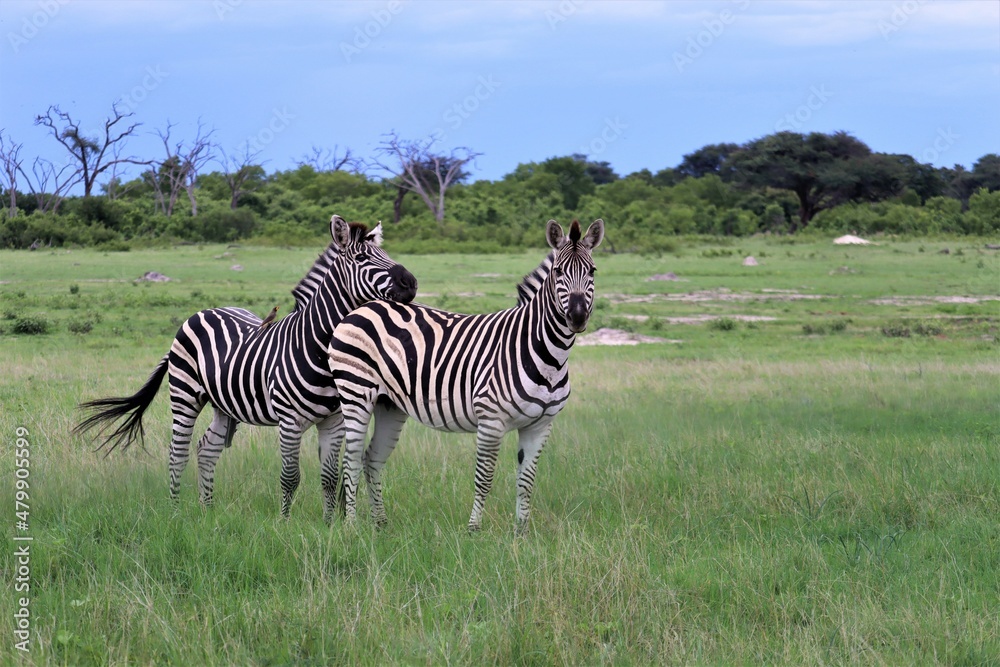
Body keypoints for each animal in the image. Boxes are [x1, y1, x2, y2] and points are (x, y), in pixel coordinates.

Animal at [75, 215, 418, 520]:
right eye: (362, 257)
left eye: (387, 254)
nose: (411, 282)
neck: (315, 346)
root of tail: (204, 311)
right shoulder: (289, 421)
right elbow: (290, 477)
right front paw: (285, 524)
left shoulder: (333, 422)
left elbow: (329, 478)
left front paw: (329, 525)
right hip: (185, 395)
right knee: (177, 454)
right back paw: (175, 513)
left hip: (224, 405)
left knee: (206, 449)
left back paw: (207, 512)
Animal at [327, 218, 604, 532]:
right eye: (558, 271)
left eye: (592, 271)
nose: (578, 317)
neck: (546, 354)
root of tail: (362, 307)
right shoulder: (491, 420)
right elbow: (484, 478)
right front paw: (474, 530)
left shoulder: (541, 425)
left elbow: (526, 482)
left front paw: (521, 533)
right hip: (355, 392)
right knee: (350, 459)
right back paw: (352, 526)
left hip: (389, 405)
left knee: (371, 459)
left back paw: (381, 524)